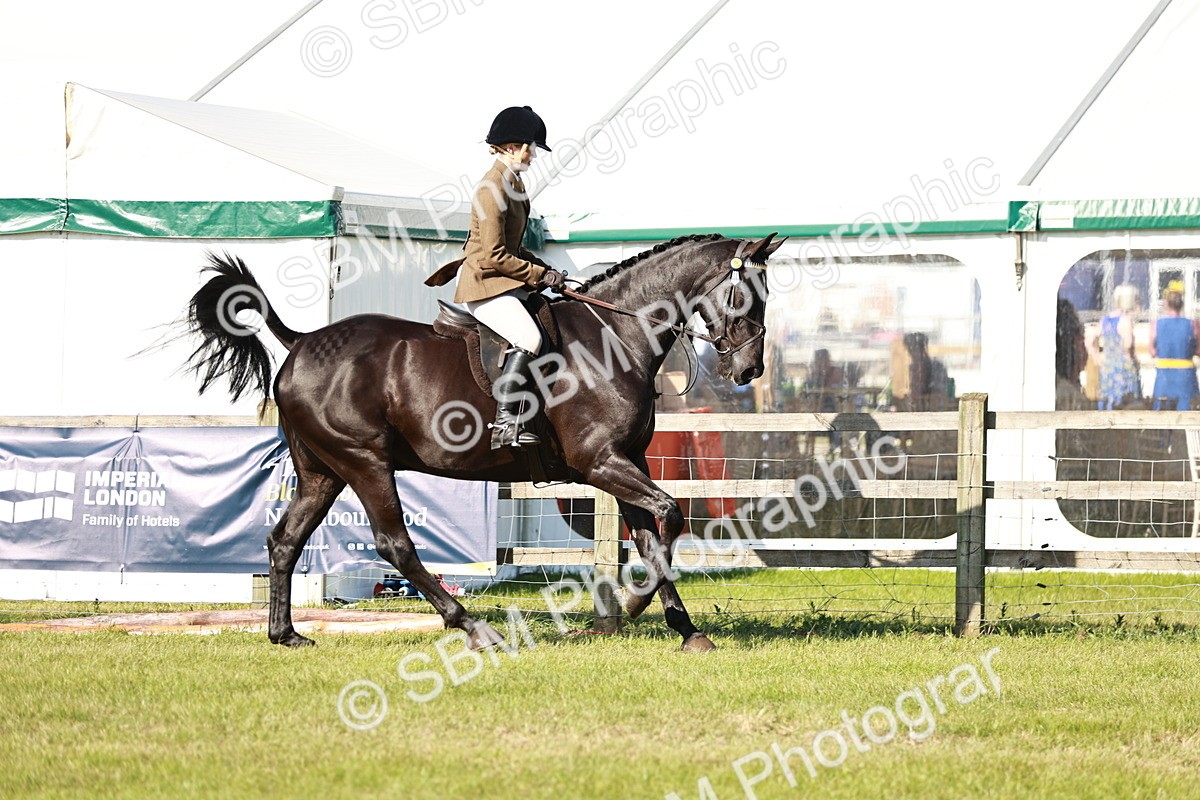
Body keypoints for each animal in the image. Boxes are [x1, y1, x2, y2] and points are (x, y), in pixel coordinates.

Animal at [181, 232, 783, 651]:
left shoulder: (625, 461)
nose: (750, 369)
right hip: (364, 462)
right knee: (394, 544)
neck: (615, 337)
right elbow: (670, 515)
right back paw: (472, 628)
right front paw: (636, 604)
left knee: (285, 541)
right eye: (746, 296)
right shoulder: (600, 463)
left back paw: (285, 634)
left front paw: (687, 630)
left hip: (322, 471)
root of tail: (303, 342)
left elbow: (653, 537)